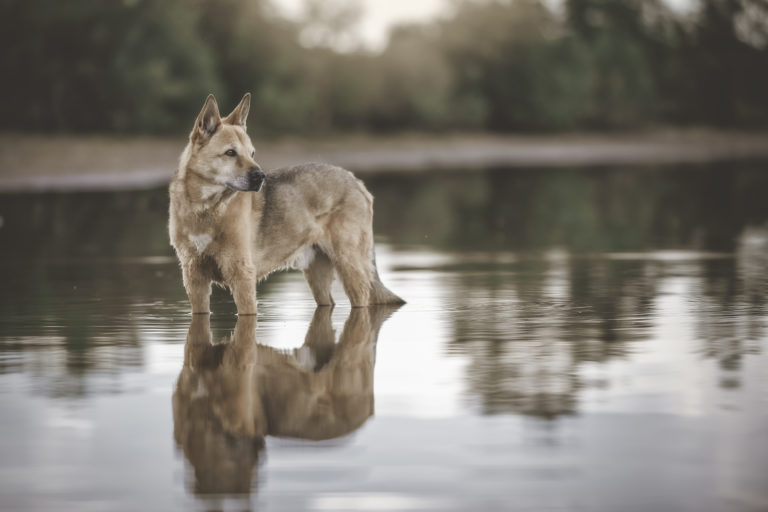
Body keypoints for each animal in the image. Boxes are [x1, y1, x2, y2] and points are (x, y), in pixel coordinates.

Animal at [169, 94, 404, 314]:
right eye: (230, 153)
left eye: (252, 153)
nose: (261, 176)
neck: (205, 209)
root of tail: (356, 181)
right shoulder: (194, 279)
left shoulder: (242, 276)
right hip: (318, 276)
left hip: (350, 267)